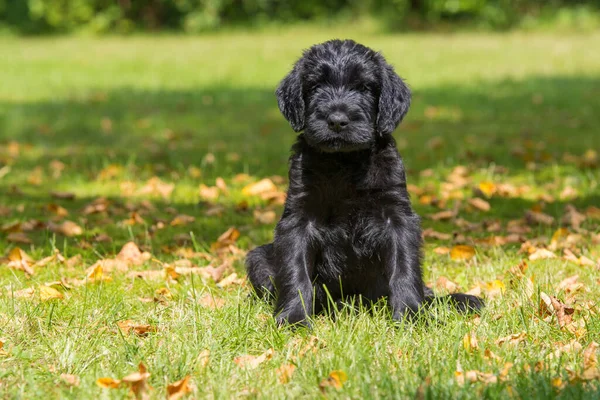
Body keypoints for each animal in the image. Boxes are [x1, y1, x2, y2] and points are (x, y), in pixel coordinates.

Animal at [245, 39, 482, 326]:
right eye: (315, 86)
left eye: (364, 88)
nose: (337, 120)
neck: (345, 163)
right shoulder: (298, 219)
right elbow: (295, 271)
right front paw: (294, 318)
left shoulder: (397, 216)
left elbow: (404, 267)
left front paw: (411, 315)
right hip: (258, 258)